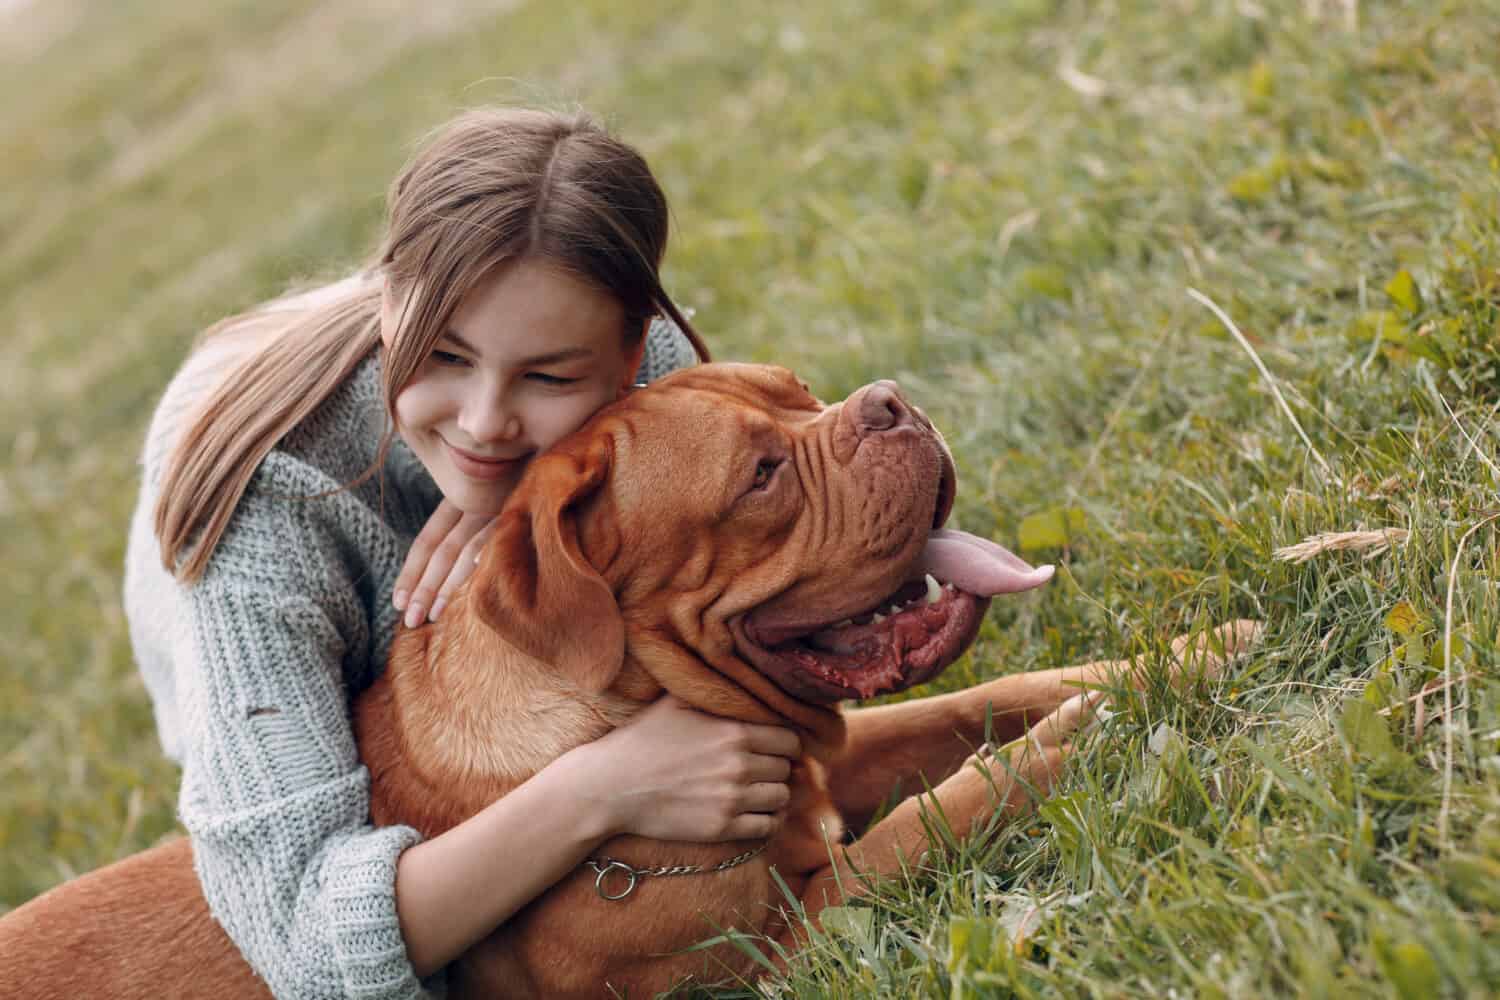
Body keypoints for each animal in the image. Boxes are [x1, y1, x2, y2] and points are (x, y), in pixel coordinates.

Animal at [0, 364, 1254, 995]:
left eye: (804, 393)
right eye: (761, 476)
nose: (890, 401)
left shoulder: (833, 763)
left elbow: (993, 695)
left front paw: (1185, 657)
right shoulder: (777, 941)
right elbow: (938, 813)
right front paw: (1066, 745)